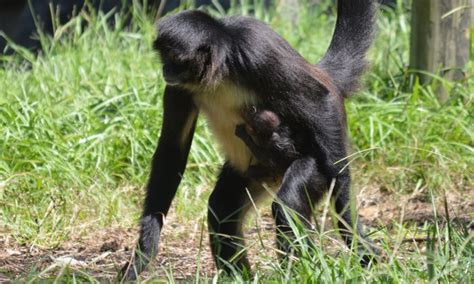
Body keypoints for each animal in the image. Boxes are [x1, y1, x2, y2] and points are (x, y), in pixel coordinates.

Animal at [121, 0, 378, 280]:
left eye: (174, 59)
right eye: (164, 57)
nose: (165, 69)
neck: (220, 70)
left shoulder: (254, 48)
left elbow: (321, 102)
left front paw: (349, 223)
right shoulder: (179, 87)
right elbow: (171, 150)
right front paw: (144, 251)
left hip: (314, 158)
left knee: (288, 203)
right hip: (254, 172)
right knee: (221, 209)